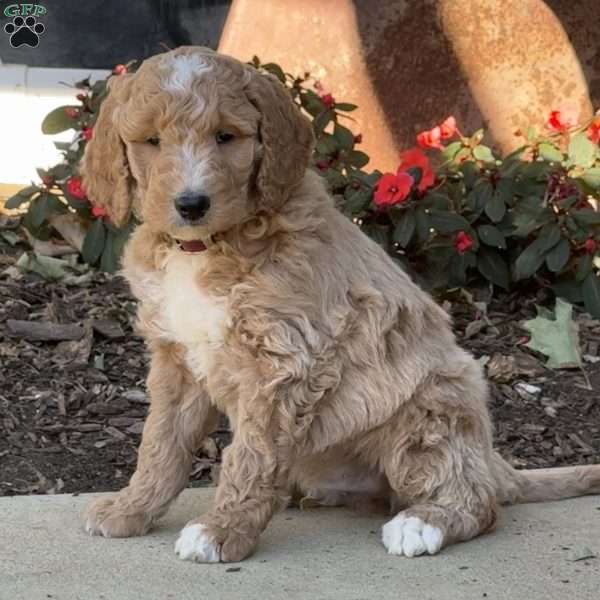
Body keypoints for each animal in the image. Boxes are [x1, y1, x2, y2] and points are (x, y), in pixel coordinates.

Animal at [81, 45, 600, 564]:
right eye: (151, 141)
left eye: (226, 136)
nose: (191, 205)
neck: (205, 248)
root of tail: (491, 460)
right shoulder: (178, 360)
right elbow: (161, 443)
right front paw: (130, 509)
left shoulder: (282, 364)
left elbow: (251, 455)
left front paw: (222, 530)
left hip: (431, 409)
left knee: (478, 502)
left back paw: (424, 522)